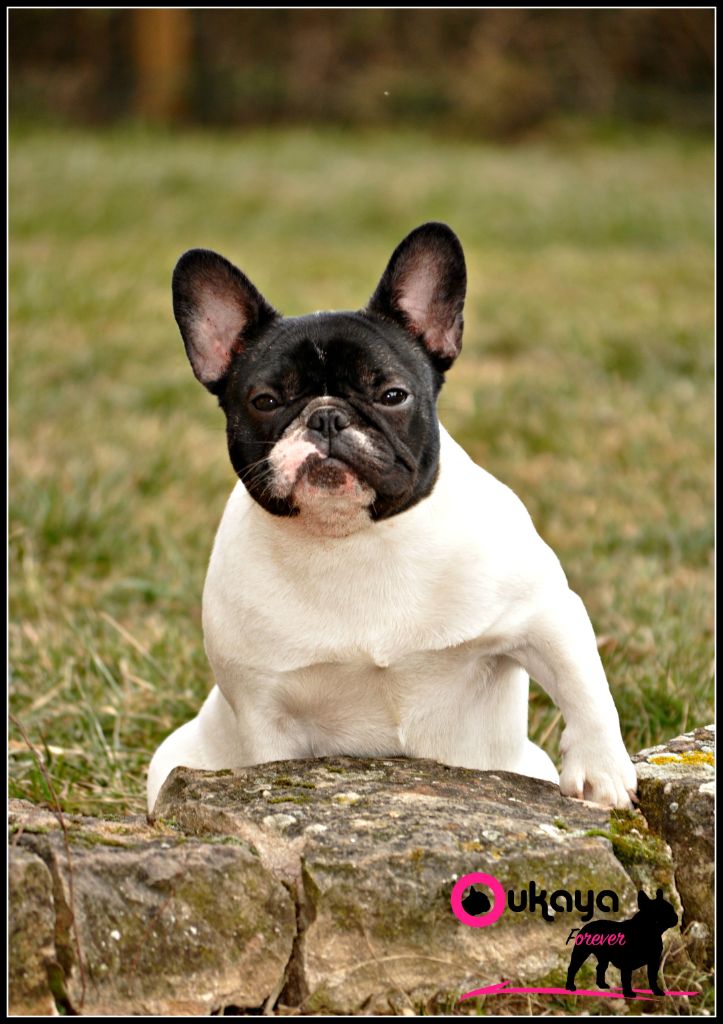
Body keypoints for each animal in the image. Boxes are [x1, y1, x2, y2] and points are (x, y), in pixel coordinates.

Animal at [147, 222, 637, 814]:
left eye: (392, 394)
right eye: (265, 401)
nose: (326, 416)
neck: (355, 540)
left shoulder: (543, 613)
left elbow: (583, 685)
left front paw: (601, 773)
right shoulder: (264, 709)